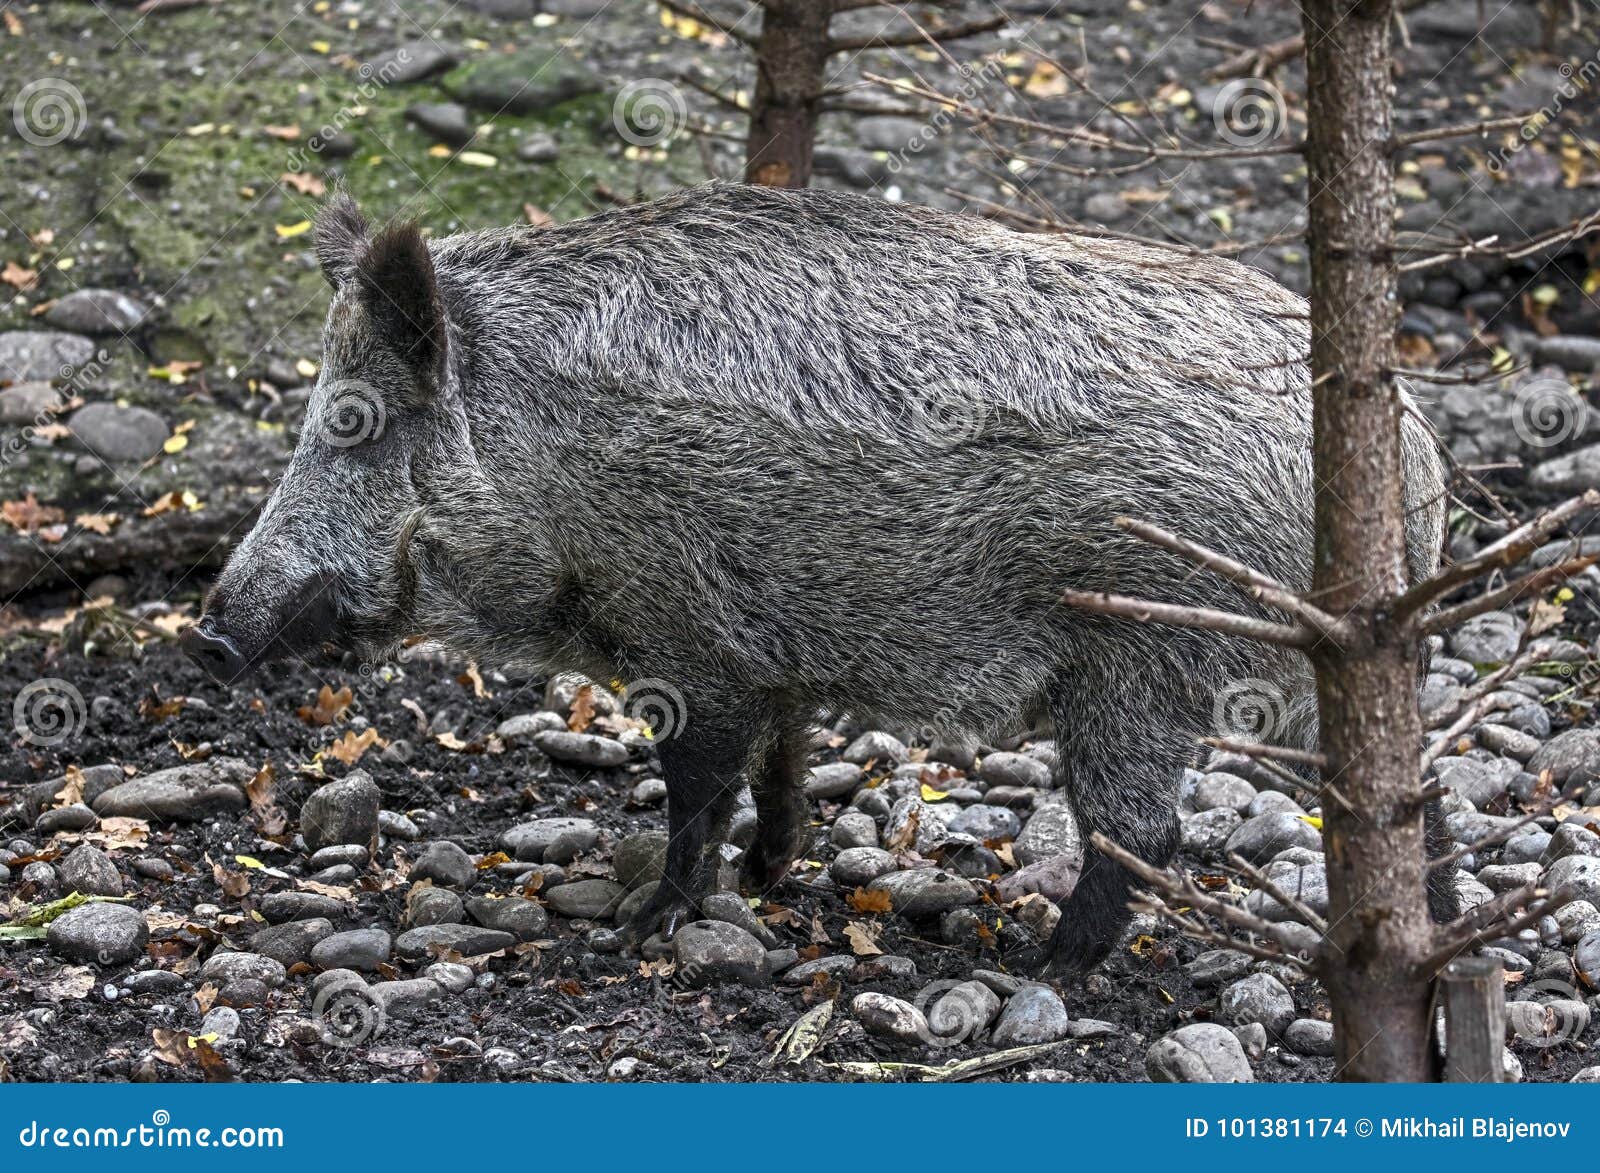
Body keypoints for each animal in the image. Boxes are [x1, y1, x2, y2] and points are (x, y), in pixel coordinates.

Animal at [182, 183, 1453, 975]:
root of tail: (1418, 463)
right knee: (1410, 788)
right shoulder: (768, 650)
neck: (542, 460)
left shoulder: (687, 633)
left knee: (1145, 827)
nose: (210, 634)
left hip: (1150, 657)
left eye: (352, 423)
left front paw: (643, 926)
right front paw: (766, 875)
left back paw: (1043, 961)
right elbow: (774, 768)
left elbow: (695, 782)